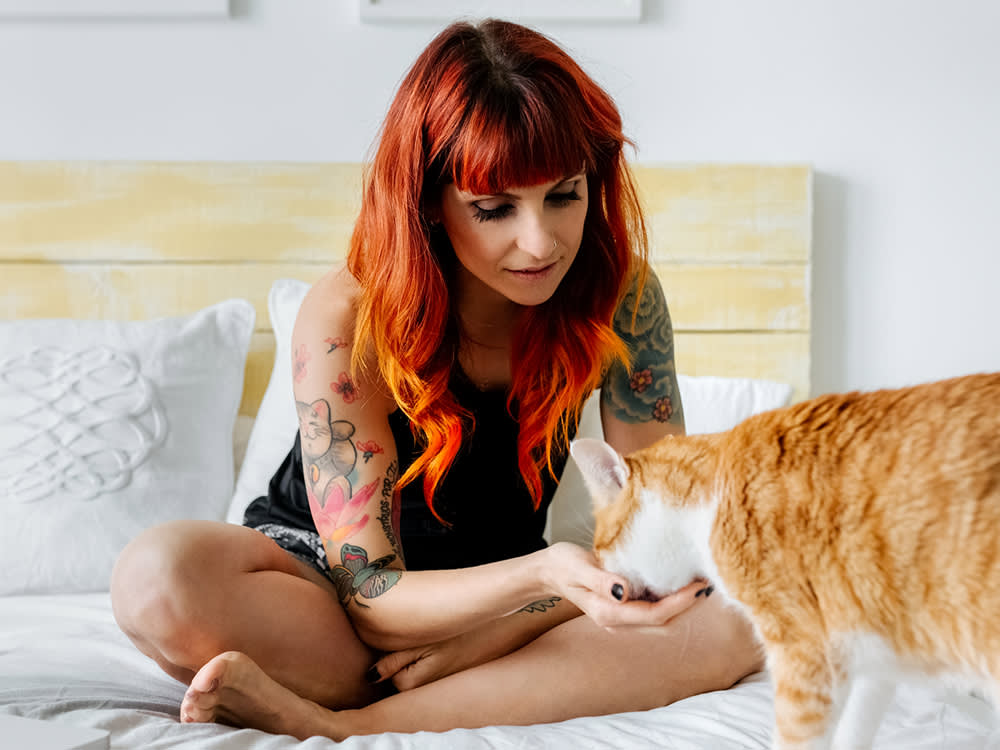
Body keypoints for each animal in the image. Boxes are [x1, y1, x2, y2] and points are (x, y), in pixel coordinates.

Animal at [576, 374, 1000, 748]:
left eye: (600, 550)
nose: (610, 581)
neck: (713, 496)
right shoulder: (872, 650)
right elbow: (857, 725)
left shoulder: (806, 651)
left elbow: (798, 736)